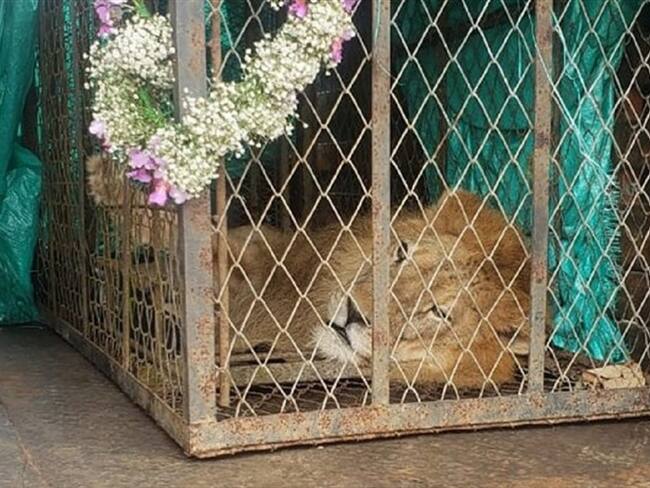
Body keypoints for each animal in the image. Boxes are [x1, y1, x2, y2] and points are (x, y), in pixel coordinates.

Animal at [87, 154, 531, 389]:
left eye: (439, 313)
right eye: (402, 252)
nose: (354, 313)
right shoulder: (260, 250)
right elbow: (198, 237)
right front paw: (108, 179)